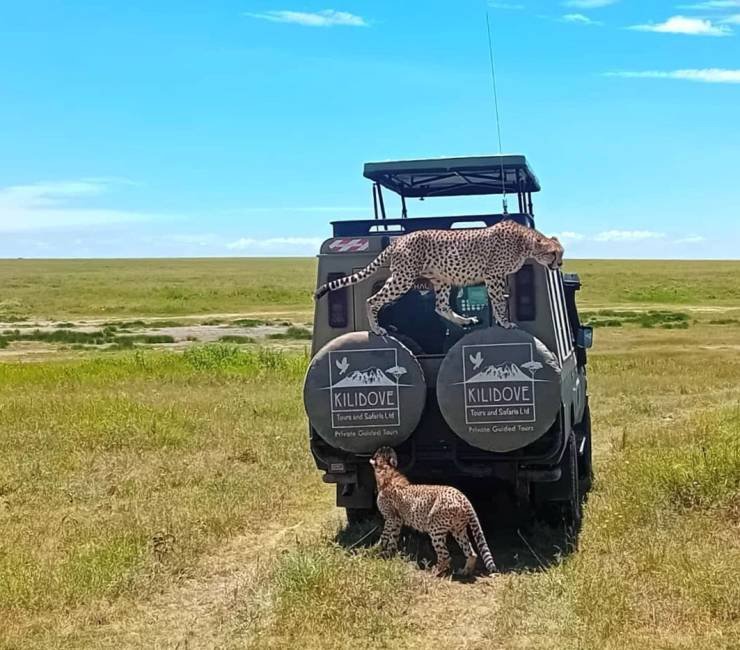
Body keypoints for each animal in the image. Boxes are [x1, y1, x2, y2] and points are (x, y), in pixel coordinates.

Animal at [312, 220, 560, 336]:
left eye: (561, 252)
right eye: (554, 253)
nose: (559, 264)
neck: (526, 242)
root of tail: (400, 239)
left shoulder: (495, 277)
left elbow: (498, 300)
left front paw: (500, 320)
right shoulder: (494, 275)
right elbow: (498, 301)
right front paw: (505, 322)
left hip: (438, 279)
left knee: (440, 307)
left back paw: (466, 320)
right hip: (404, 277)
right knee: (372, 300)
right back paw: (377, 329)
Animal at [370, 442, 498, 576]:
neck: (386, 472)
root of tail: (462, 496)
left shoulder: (392, 518)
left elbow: (385, 535)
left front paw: (377, 550)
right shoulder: (398, 520)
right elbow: (393, 537)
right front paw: (388, 553)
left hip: (435, 528)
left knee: (445, 555)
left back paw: (434, 571)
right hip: (458, 529)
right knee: (471, 553)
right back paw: (464, 572)